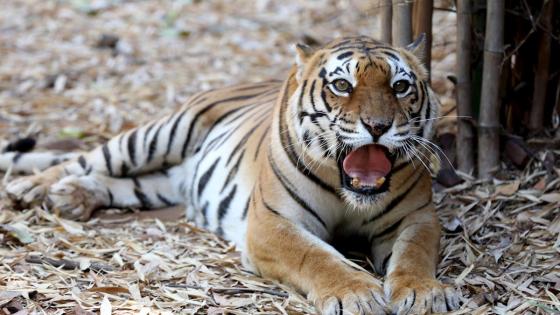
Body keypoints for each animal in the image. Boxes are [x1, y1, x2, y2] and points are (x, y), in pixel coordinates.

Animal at [2, 35, 462, 314]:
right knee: (87, 159)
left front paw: (424, 292)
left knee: (122, 183)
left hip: (165, 182)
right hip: (159, 134)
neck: (349, 194)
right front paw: (358, 294)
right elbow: (316, 257)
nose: (378, 126)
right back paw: (33, 188)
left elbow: (414, 253)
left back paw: (71, 197)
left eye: (400, 87)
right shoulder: (271, 223)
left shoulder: (417, 216)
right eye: (342, 86)